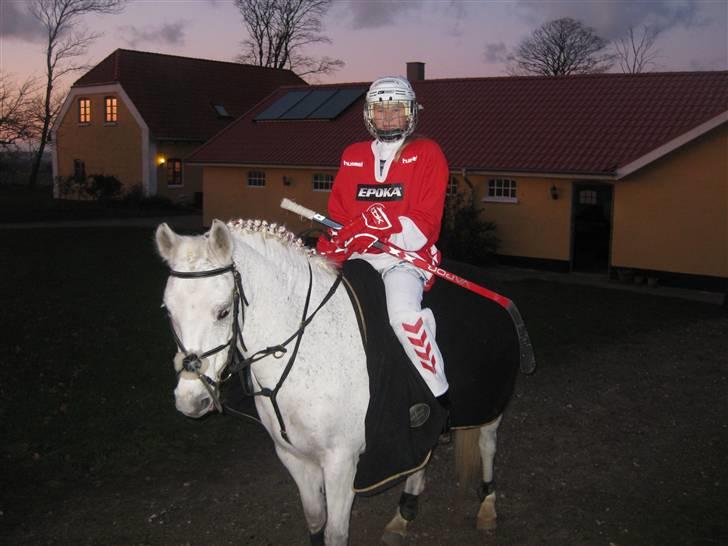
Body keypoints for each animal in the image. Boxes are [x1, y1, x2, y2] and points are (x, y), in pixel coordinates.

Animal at [154, 219, 506, 544]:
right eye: (168, 311)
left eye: (224, 311)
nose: (190, 399)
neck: (307, 347)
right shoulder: (293, 456)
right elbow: (315, 520)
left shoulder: (341, 462)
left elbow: (335, 533)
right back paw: (404, 512)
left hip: (491, 407)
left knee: (488, 446)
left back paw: (487, 505)